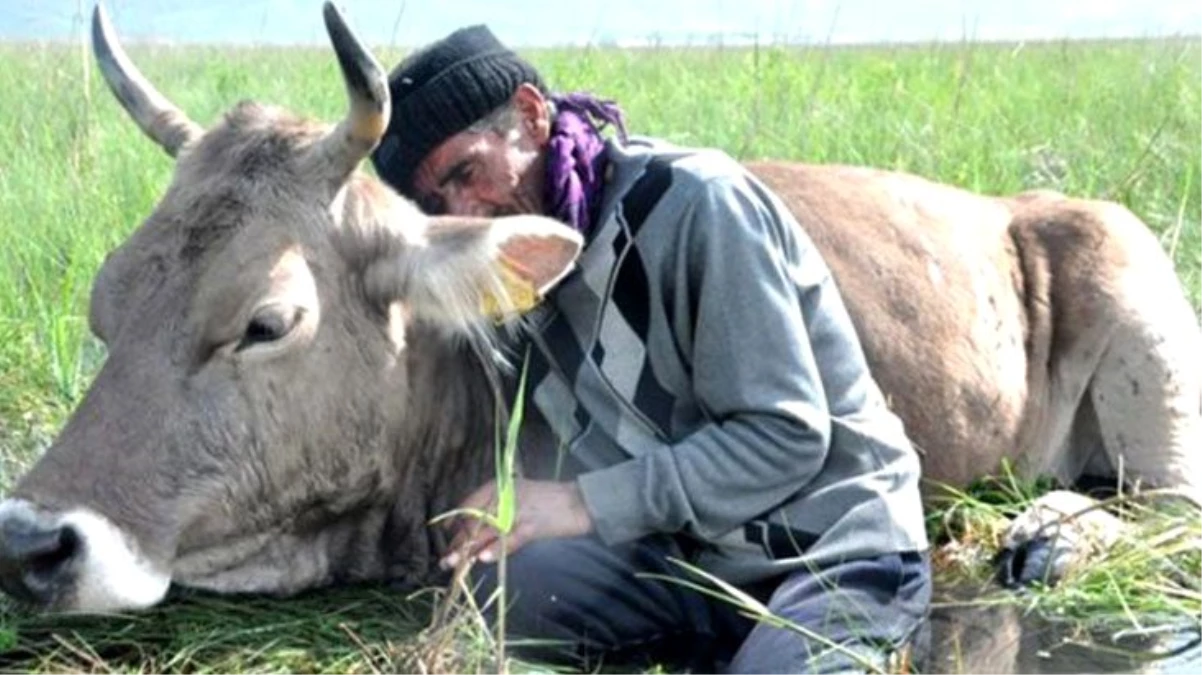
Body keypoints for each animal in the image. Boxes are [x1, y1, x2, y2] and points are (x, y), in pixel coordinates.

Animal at [0, 1, 1197, 610]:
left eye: (265, 321)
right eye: (105, 304)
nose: (28, 542)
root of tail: (1028, 204)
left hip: (1143, 322)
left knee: (1164, 504)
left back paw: (1044, 533)